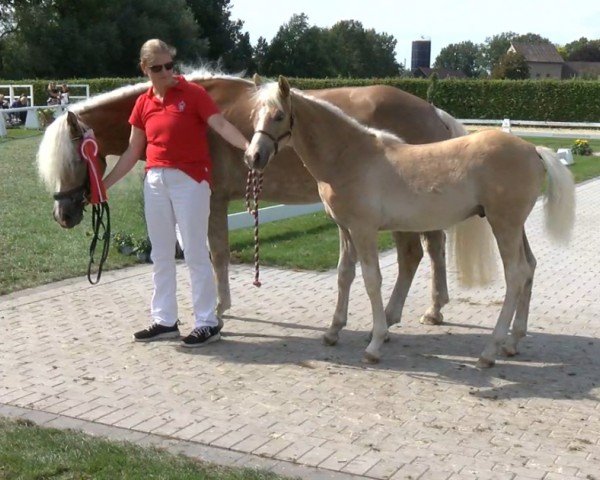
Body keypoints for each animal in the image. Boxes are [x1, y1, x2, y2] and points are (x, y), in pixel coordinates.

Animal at [37, 69, 468, 326]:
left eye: (77, 157)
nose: (63, 213)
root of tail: (432, 109)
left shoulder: (212, 200)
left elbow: (215, 253)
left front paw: (219, 309)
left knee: (414, 254)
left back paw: (396, 314)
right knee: (433, 249)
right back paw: (433, 309)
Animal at [245, 76, 576, 368]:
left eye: (278, 115)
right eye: (253, 115)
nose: (253, 156)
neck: (350, 157)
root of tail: (533, 150)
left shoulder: (364, 230)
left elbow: (371, 280)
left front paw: (375, 344)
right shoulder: (345, 229)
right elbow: (344, 275)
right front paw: (332, 331)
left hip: (504, 226)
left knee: (515, 275)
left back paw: (489, 352)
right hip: (515, 227)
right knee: (529, 268)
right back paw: (512, 342)